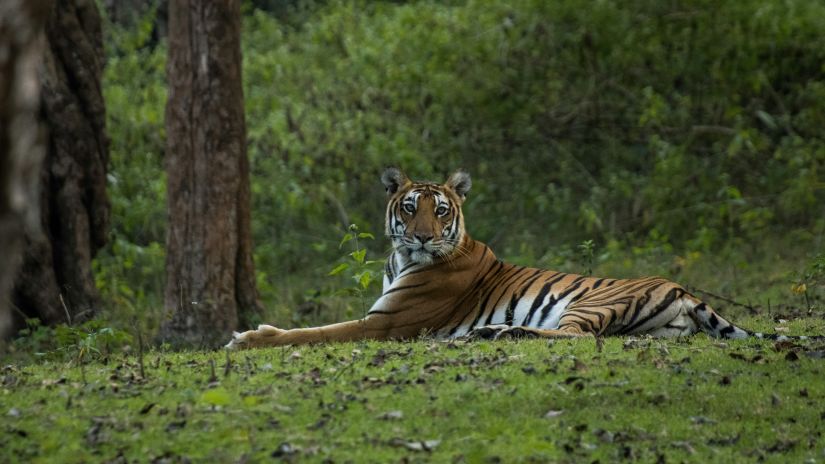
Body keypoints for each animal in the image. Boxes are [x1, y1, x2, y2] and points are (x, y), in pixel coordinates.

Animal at [225, 167, 816, 348]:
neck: (403, 260)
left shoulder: (384, 325)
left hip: (586, 303)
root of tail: (684, 290)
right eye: (410, 208)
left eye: (441, 211)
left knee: (573, 338)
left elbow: (315, 332)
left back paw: (497, 333)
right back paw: (490, 332)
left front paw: (248, 337)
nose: (421, 238)